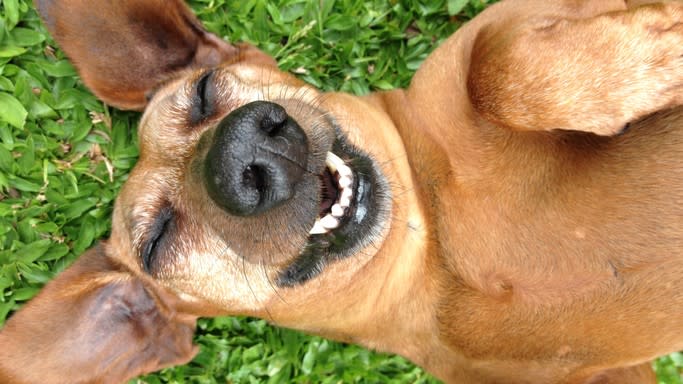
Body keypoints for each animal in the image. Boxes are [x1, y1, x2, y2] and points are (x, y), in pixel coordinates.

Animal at [1, 0, 683, 382]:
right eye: (158, 241)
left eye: (203, 92)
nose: (244, 154)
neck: (433, 240)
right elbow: (498, 68)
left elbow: (496, 66)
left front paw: (646, 53)